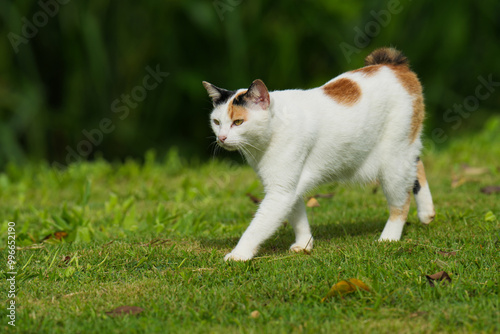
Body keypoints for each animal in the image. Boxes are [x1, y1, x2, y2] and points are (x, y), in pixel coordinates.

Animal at [202, 47, 434, 260]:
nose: (221, 138)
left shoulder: (280, 192)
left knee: (401, 203)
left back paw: (389, 238)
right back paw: (427, 213)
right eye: (217, 122)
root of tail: (392, 65)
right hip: (403, 153)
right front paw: (304, 244)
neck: (274, 128)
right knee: (418, 166)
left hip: (393, 160)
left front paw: (238, 255)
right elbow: (298, 216)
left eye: (238, 122)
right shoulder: (290, 186)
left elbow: (256, 227)